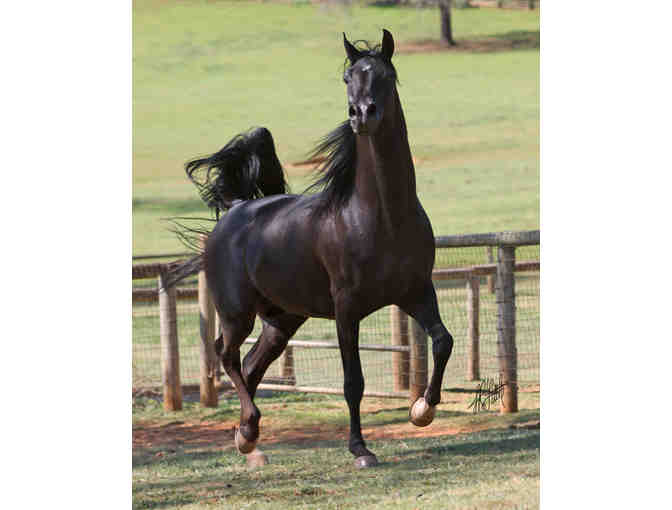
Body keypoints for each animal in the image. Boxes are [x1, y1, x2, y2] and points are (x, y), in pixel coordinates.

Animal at [169, 30, 452, 470]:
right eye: (348, 77)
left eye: (386, 75)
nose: (361, 114)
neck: (380, 217)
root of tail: (235, 210)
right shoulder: (347, 307)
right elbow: (353, 381)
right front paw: (360, 449)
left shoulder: (416, 291)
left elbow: (442, 341)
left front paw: (422, 410)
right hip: (236, 313)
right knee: (226, 355)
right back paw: (249, 431)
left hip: (282, 320)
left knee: (250, 365)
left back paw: (248, 438)